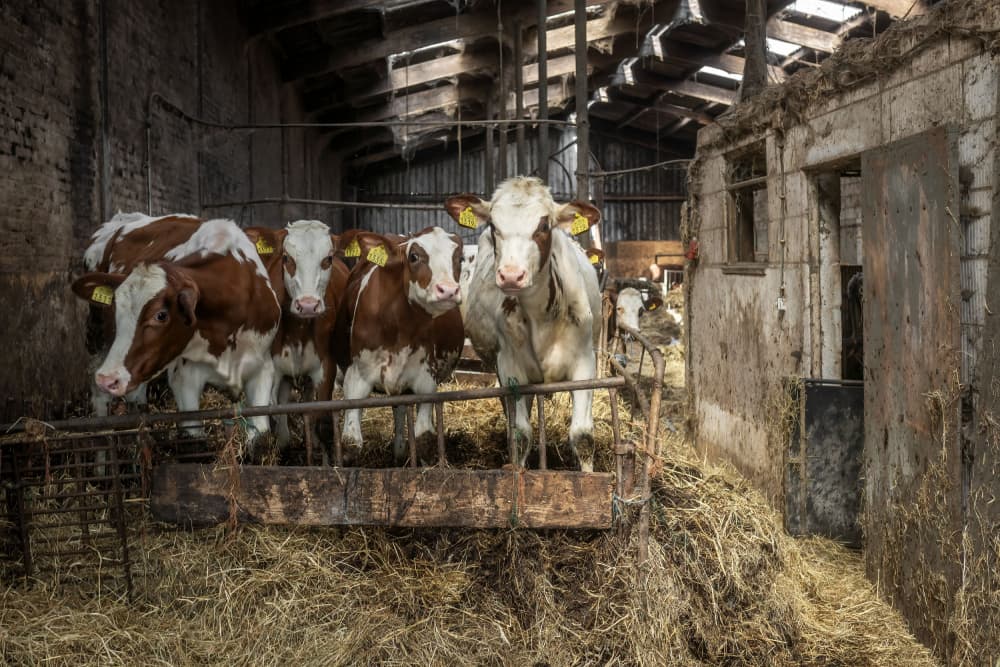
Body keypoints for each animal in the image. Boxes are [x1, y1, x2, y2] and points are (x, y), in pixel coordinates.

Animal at [72, 218, 281, 451]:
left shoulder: (262, 368)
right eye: (115, 310)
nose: (108, 379)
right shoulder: (185, 378)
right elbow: (194, 440)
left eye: (161, 315)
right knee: (101, 409)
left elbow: (261, 436)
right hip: (98, 343)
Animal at [245, 220, 350, 452]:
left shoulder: (326, 367)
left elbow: (321, 422)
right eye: (287, 258)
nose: (308, 305)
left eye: (328, 258)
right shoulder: (273, 369)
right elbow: (277, 426)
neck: (298, 331)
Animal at [332, 227, 464, 465]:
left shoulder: (425, 380)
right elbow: (351, 444)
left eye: (460, 258)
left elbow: (423, 440)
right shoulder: (357, 377)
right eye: (414, 257)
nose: (448, 290)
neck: (400, 327)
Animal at [445, 176, 602, 472]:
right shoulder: (510, 367)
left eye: (543, 226)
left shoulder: (585, 363)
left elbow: (582, 435)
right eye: (493, 226)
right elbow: (521, 434)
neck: (542, 315)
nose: (510, 275)